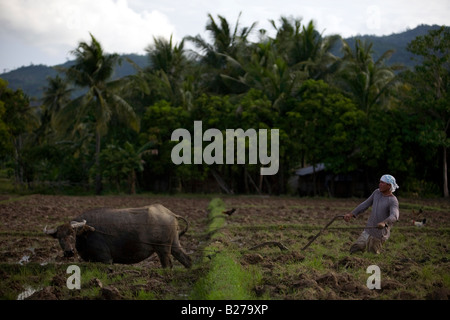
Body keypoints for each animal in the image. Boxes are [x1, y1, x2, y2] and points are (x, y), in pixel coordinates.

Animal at [45, 205, 192, 268]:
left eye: (72, 233)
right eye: (59, 237)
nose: (69, 252)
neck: (86, 233)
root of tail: (170, 213)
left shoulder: (106, 259)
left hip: (162, 248)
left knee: (167, 265)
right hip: (174, 244)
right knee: (186, 259)